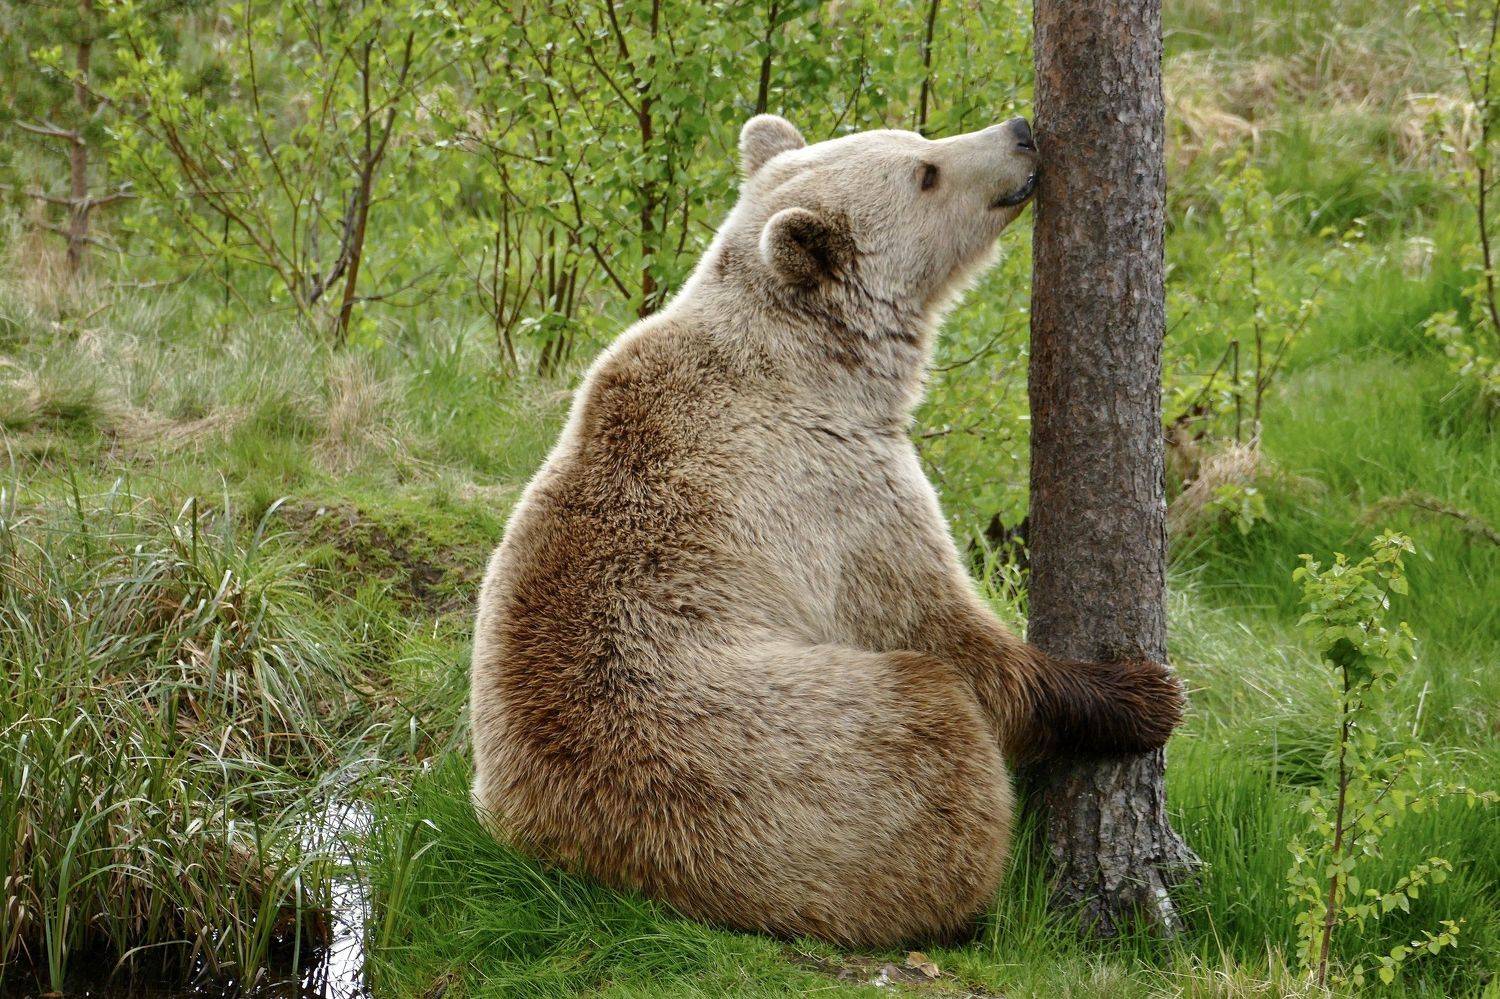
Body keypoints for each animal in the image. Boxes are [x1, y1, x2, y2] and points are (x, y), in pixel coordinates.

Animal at [469, 113, 1184, 947]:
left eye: (917, 137)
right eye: (926, 173)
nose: (1021, 131)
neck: (830, 367)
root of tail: (583, 858)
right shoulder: (836, 493)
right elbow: (944, 629)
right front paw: (1139, 692)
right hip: (755, 755)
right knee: (933, 728)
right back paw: (967, 897)